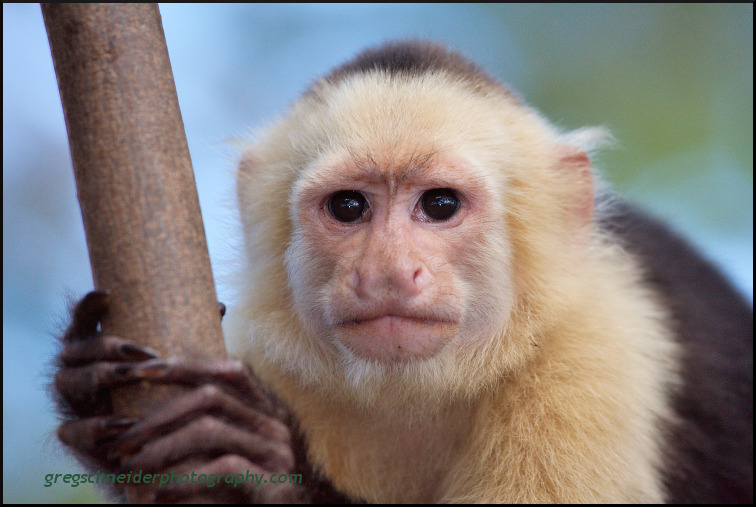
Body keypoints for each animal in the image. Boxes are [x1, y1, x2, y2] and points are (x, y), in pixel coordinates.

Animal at [54, 40, 752, 504]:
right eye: (348, 207)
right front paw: (88, 391)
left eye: (439, 205)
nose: (387, 272)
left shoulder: (593, 358)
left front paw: (268, 467)